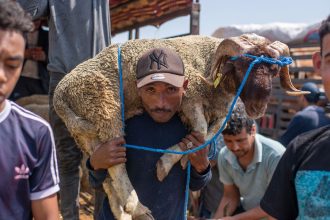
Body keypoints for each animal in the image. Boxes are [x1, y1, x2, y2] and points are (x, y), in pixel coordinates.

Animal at [52, 33, 306, 219]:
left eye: (274, 70)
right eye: (242, 66)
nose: (258, 108)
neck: (210, 65)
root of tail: (60, 93)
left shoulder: (220, 112)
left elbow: (208, 136)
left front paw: (185, 156)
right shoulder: (189, 95)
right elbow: (201, 131)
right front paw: (166, 162)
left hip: (86, 129)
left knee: (105, 173)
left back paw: (121, 210)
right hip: (105, 106)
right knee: (116, 164)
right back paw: (136, 207)